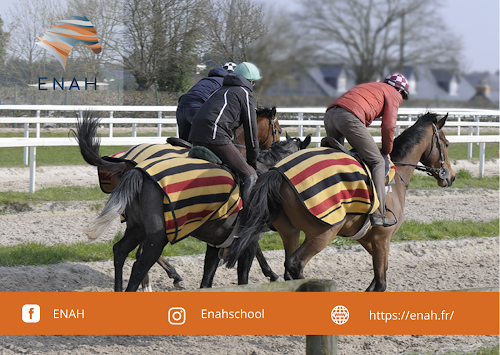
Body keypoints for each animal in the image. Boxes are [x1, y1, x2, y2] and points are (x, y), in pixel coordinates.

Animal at [74, 108, 286, 290]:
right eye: (277, 129)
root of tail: (132, 166)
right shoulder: (246, 236)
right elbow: (248, 263)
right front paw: (272, 274)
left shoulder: (218, 238)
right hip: (157, 232)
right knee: (141, 259)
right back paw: (162, 280)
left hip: (139, 226)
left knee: (125, 252)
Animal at [227, 113, 458, 292]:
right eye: (446, 144)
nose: (451, 176)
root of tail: (277, 172)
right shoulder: (382, 238)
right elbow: (380, 282)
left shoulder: (368, 238)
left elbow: (378, 276)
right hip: (324, 232)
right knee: (294, 265)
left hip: (290, 231)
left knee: (287, 269)